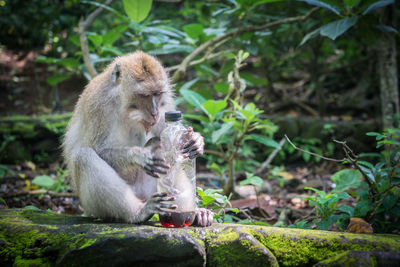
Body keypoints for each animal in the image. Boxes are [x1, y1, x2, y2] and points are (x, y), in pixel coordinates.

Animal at [61, 51, 212, 227]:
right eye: (144, 95)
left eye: (157, 94)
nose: (155, 112)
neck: (121, 102)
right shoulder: (97, 105)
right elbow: (98, 149)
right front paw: (139, 155)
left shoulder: (164, 105)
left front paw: (195, 140)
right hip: (93, 206)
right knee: (84, 157)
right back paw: (138, 213)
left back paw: (194, 213)